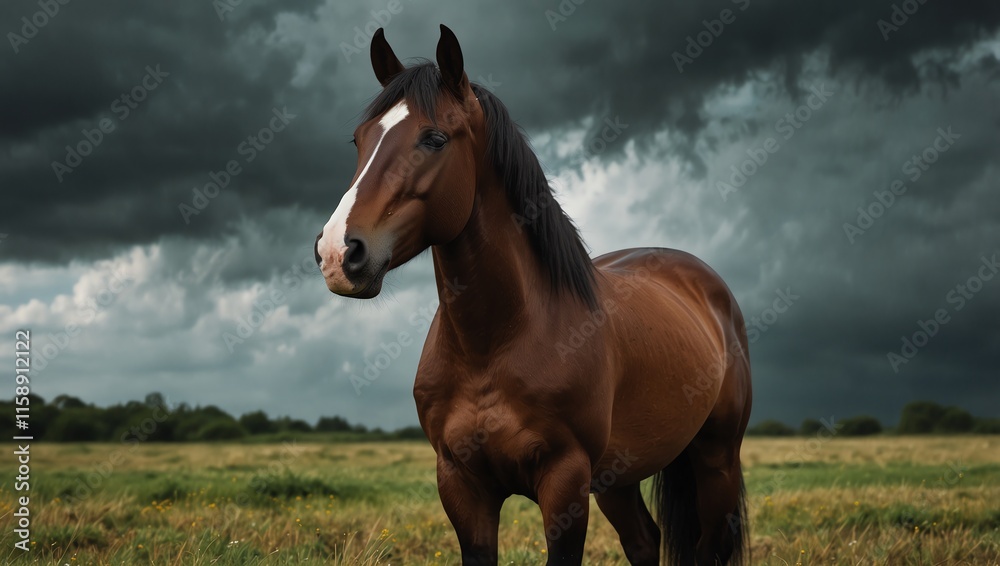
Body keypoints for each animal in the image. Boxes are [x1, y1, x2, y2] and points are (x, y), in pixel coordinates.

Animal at [314, 25, 752, 566]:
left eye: (434, 138)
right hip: (618, 477)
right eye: (359, 139)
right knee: (644, 540)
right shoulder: (461, 485)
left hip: (716, 460)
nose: (338, 252)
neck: (496, 343)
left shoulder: (565, 483)